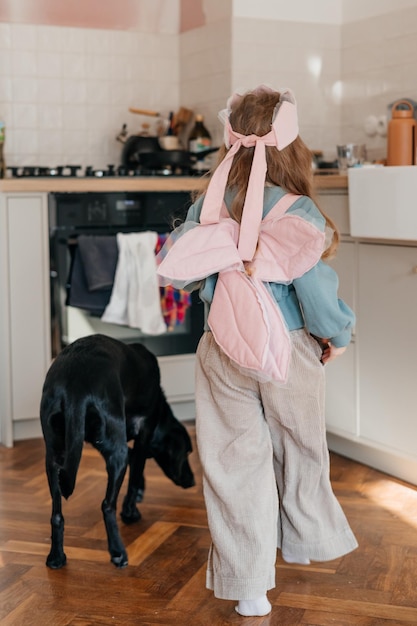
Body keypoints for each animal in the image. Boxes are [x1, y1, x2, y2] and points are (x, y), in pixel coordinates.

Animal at [39, 334, 194, 568]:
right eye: (186, 453)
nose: (193, 481)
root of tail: (75, 386)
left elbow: (135, 464)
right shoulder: (143, 434)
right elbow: (136, 473)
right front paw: (131, 511)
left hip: (54, 458)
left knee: (57, 515)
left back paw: (57, 557)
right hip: (115, 453)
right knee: (107, 505)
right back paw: (118, 552)